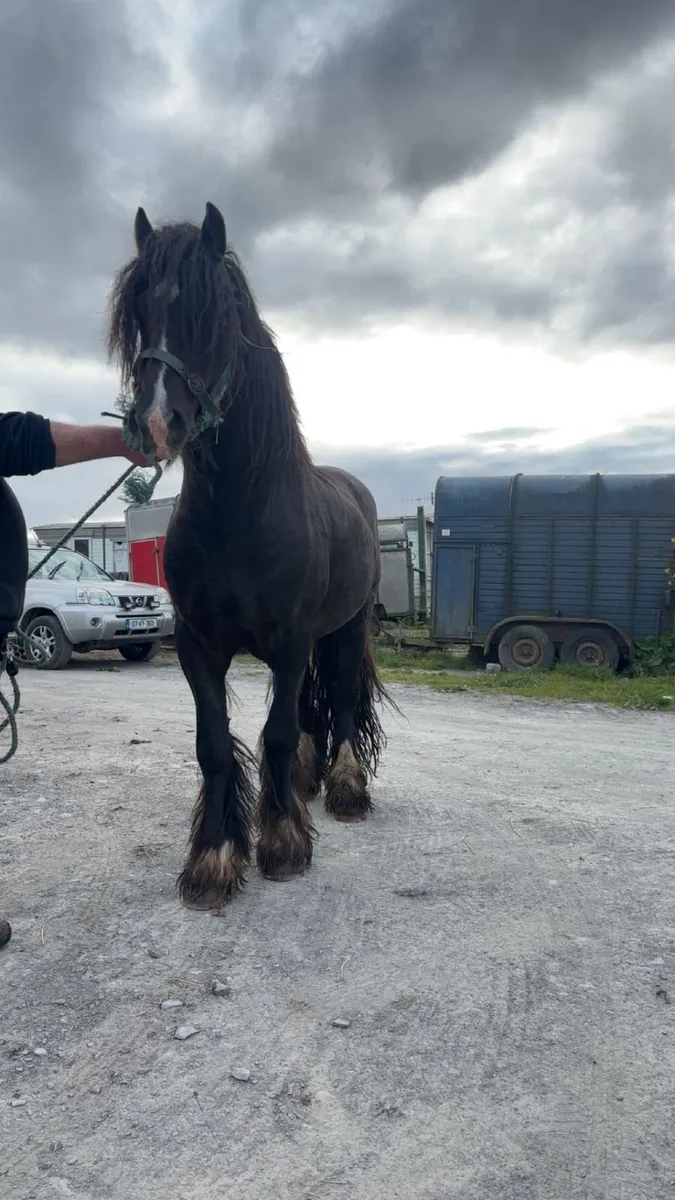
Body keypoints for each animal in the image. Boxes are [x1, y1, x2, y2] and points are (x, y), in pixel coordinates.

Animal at [107, 201, 392, 909]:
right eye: (139, 311)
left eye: (214, 315)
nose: (156, 425)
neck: (238, 514)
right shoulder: (198, 643)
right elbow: (214, 743)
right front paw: (213, 858)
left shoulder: (290, 642)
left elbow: (280, 731)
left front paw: (283, 845)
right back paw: (305, 785)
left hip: (348, 628)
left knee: (342, 698)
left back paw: (344, 790)